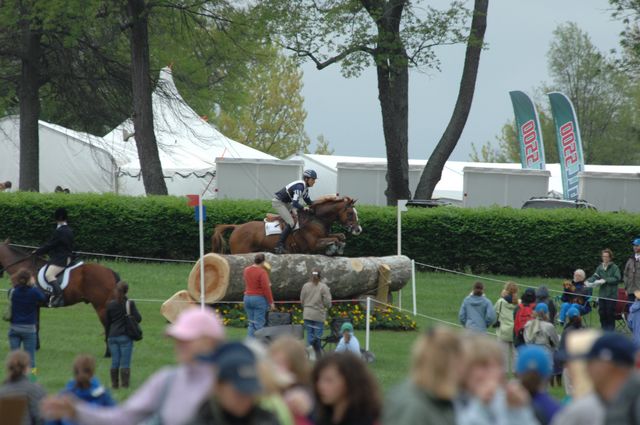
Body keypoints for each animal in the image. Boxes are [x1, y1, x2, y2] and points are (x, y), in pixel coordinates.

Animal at [212, 196, 362, 255]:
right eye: (350, 213)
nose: (358, 230)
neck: (316, 219)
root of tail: (237, 227)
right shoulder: (313, 244)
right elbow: (335, 239)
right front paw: (333, 248)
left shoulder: (325, 235)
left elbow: (340, 236)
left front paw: (338, 247)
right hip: (240, 251)